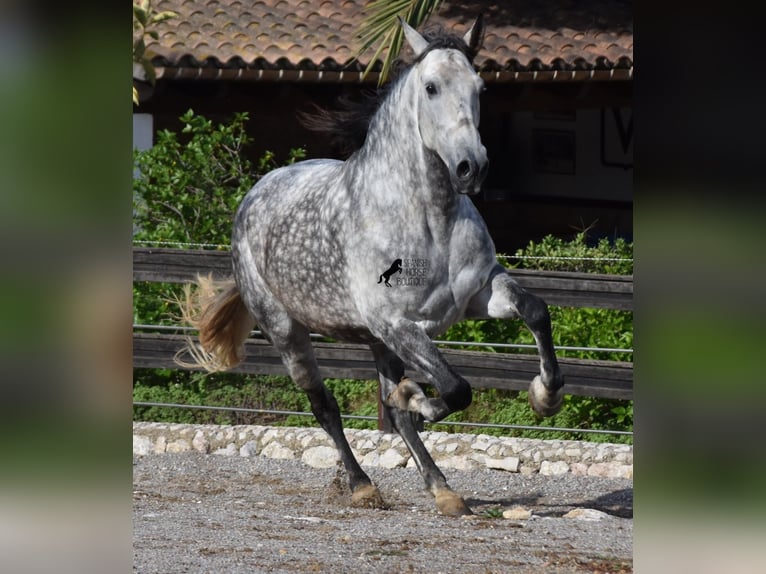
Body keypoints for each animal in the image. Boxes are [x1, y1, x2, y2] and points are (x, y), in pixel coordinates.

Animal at [178, 16, 564, 516]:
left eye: (479, 87)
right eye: (431, 87)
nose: (470, 168)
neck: (428, 220)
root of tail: (258, 191)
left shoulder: (478, 295)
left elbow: (535, 311)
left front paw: (546, 397)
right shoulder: (396, 322)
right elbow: (454, 389)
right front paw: (417, 398)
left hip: (379, 344)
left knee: (392, 414)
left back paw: (441, 488)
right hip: (289, 332)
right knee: (325, 407)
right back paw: (362, 484)